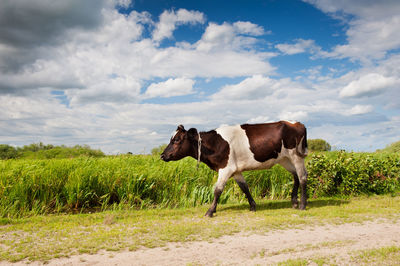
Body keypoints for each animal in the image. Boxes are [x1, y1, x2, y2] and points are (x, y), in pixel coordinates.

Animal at [161, 120, 308, 216]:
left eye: (177, 139)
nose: (162, 155)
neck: (214, 143)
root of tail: (296, 123)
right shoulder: (236, 170)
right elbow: (244, 187)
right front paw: (253, 206)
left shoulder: (226, 169)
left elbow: (217, 190)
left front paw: (210, 211)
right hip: (284, 159)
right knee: (295, 176)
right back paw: (294, 202)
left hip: (296, 156)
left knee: (302, 177)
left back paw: (302, 205)